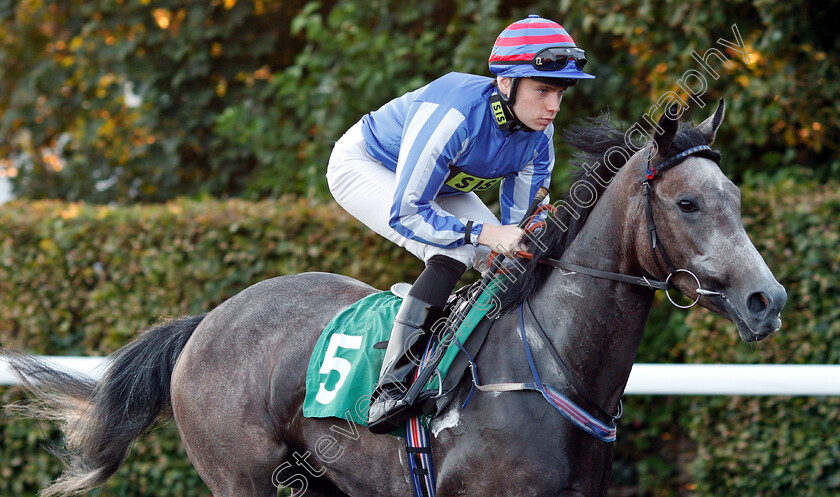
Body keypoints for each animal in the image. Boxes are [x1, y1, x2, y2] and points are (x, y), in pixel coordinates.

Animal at [4, 101, 788, 496]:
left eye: (736, 196)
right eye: (687, 202)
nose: (766, 299)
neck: (547, 365)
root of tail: (204, 324)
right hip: (243, 478)